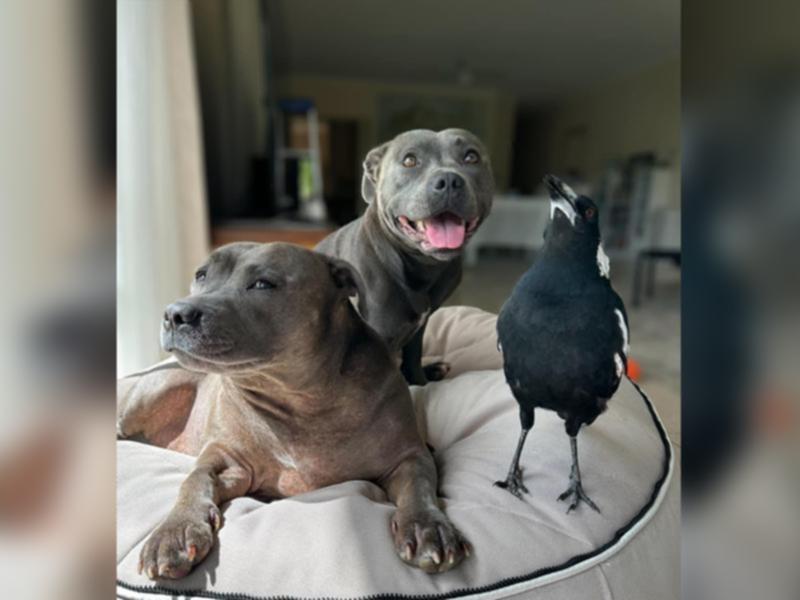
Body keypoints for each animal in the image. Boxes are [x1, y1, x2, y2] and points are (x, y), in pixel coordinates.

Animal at [318, 129, 494, 386]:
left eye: (471, 157)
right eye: (410, 161)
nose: (449, 180)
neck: (421, 266)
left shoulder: (418, 330)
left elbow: (412, 362)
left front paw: (421, 382)